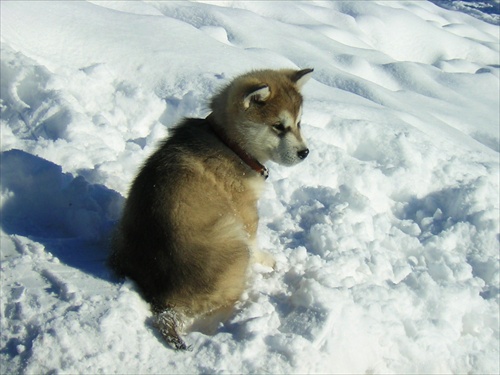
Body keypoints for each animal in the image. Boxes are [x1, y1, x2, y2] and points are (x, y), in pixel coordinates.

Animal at [109, 67, 312, 350]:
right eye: (279, 126)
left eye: (299, 123)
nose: (305, 153)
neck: (230, 144)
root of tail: (164, 301)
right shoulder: (245, 212)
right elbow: (254, 241)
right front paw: (266, 260)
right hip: (232, 240)